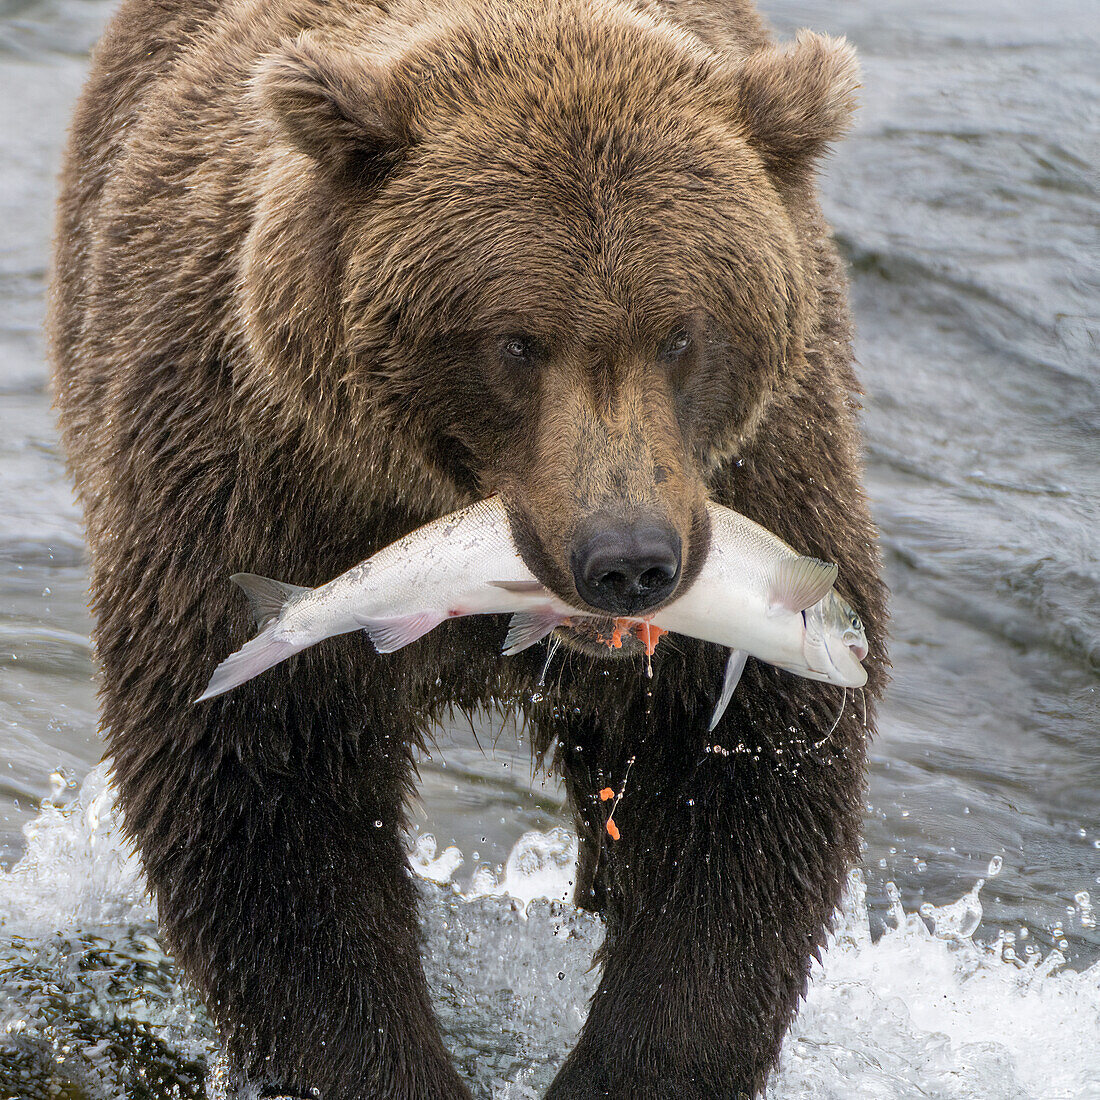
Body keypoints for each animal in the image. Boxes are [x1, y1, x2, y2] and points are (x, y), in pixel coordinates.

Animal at [51, 0, 888, 1095]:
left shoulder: (769, 481)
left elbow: (742, 806)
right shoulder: (247, 481)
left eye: (683, 333)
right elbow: (266, 812)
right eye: (514, 341)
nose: (627, 559)